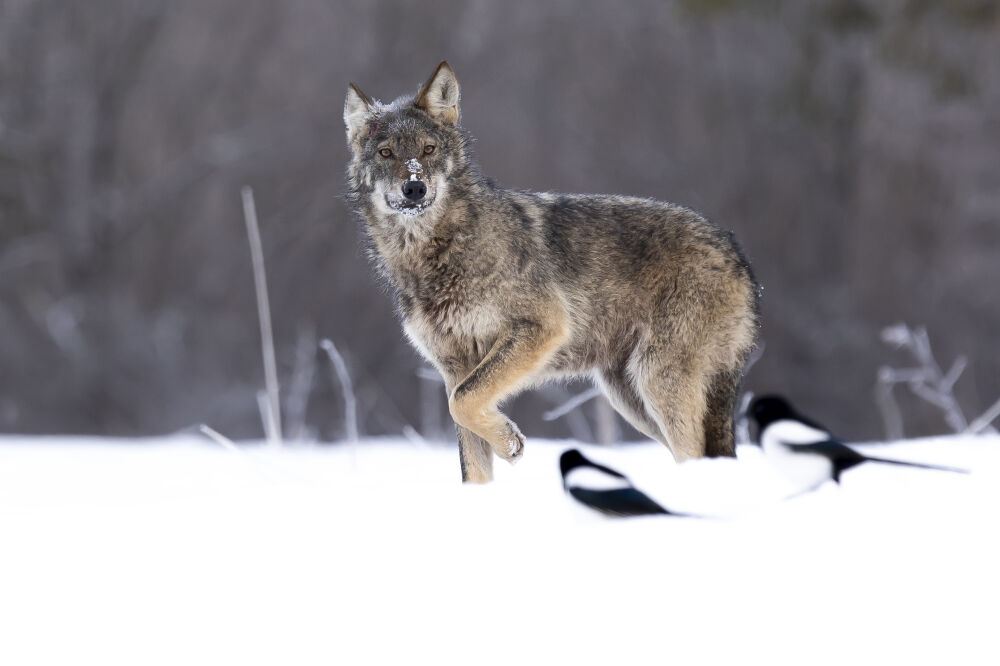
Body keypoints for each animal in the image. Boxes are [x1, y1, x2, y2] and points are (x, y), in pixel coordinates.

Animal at [344, 62, 756, 480]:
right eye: (386, 152)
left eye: (427, 149)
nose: (414, 188)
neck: (439, 250)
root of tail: (735, 251)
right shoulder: (454, 369)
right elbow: (470, 455)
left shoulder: (542, 328)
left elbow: (461, 402)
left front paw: (509, 442)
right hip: (631, 398)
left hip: (656, 381)